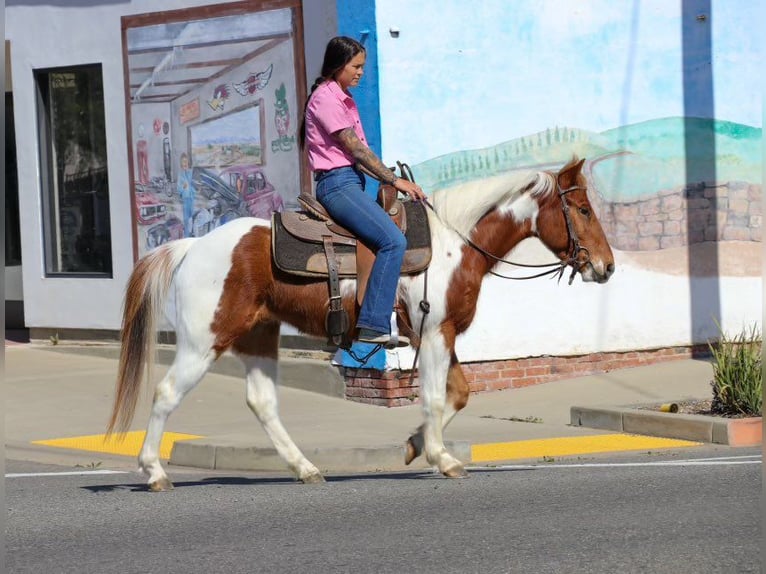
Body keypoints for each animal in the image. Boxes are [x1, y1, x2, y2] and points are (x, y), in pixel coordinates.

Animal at [108, 156, 616, 490]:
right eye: (583, 210)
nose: (607, 266)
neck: (456, 243)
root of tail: (192, 246)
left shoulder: (441, 335)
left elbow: (458, 394)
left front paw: (415, 445)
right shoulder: (435, 334)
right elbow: (435, 398)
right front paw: (441, 458)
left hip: (258, 336)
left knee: (262, 403)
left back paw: (305, 469)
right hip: (204, 341)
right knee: (167, 392)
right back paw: (154, 472)